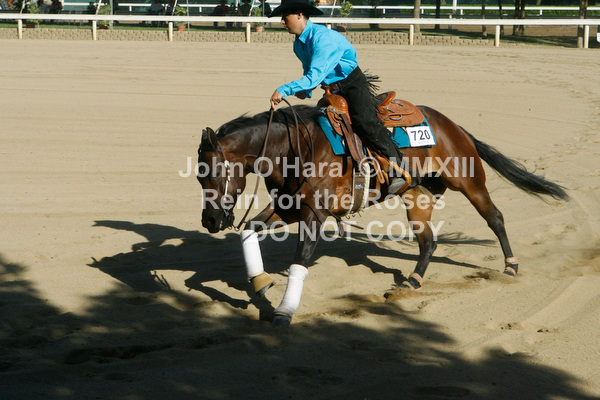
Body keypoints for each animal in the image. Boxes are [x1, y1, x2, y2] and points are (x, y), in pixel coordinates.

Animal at [196, 103, 568, 325]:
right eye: (198, 175)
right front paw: (259, 282)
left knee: (495, 218)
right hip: (417, 197)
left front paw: (284, 311)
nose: (210, 221)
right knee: (428, 241)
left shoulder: (315, 216)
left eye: (212, 172)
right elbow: (248, 230)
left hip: (469, 181)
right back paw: (413, 281)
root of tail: (453, 125)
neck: (294, 148)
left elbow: (300, 262)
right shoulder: (288, 209)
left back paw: (511, 265)